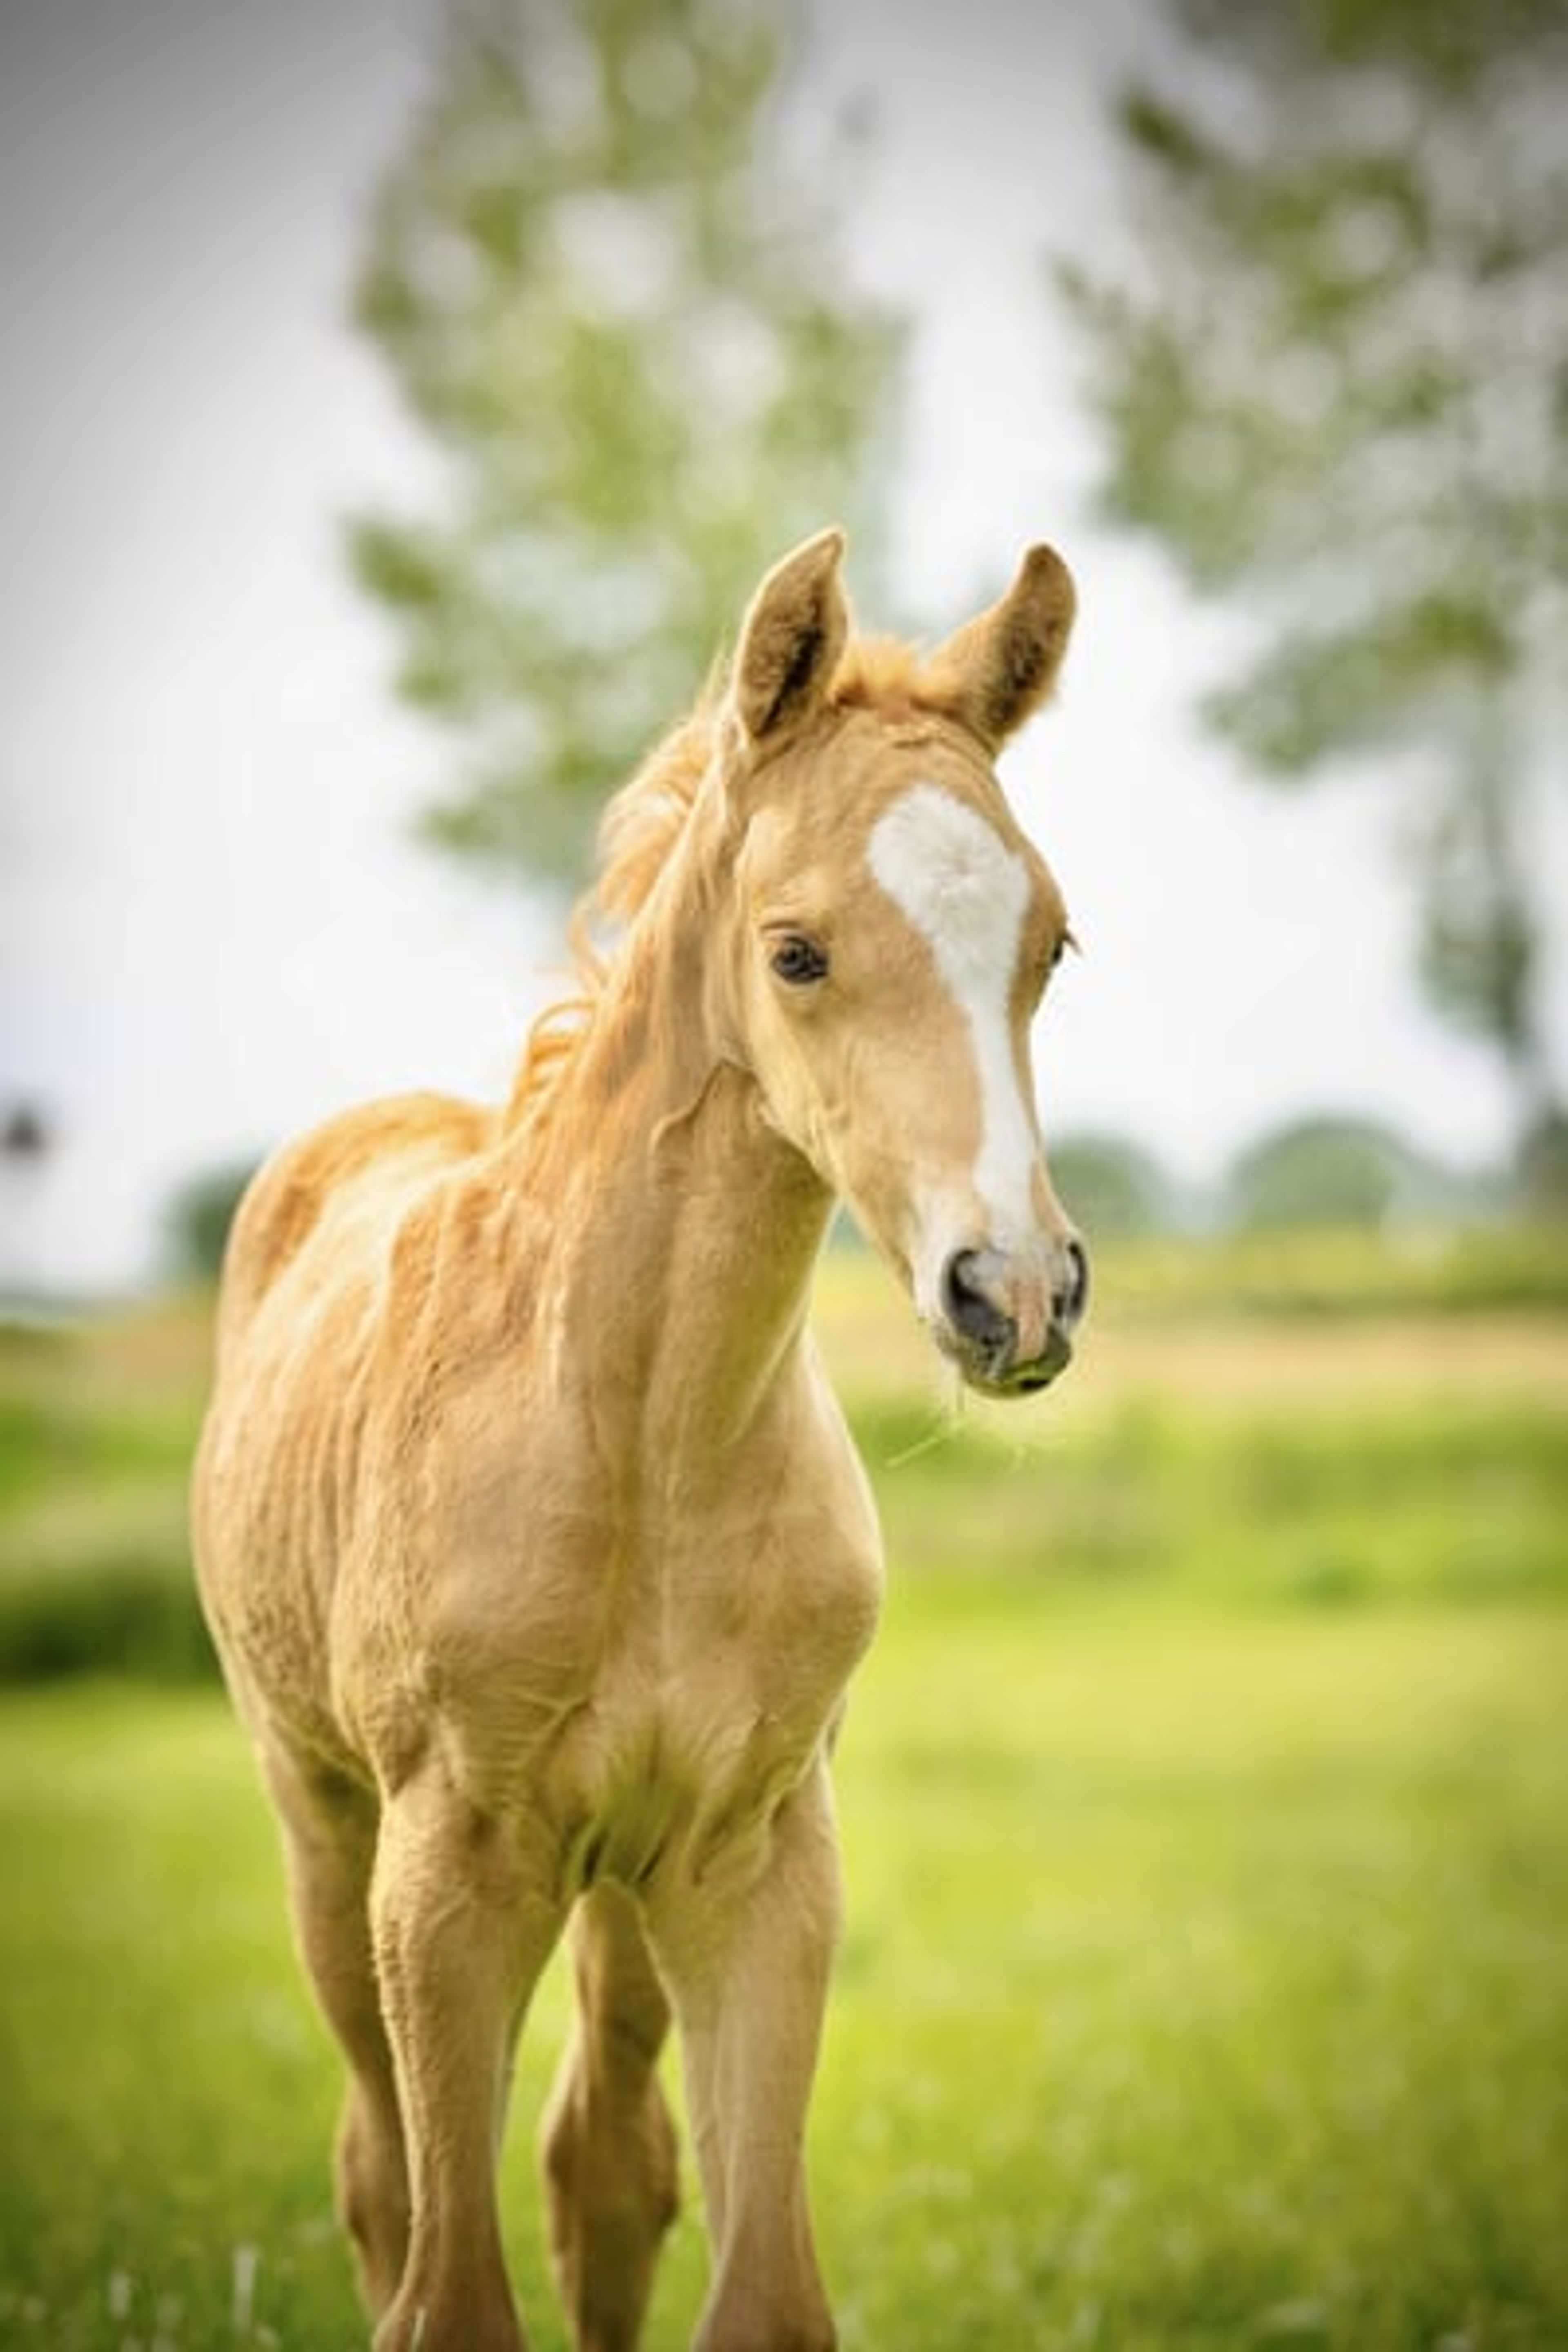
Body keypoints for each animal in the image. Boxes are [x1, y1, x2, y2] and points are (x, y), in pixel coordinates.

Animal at [192, 526, 1089, 2352]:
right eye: (798, 951)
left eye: (1050, 944)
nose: (1015, 1294)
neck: (643, 1443)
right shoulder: (447, 1878)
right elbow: (448, 2292)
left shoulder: (758, 1859)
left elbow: (753, 2285)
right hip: (323, 1823)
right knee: (381, 2170)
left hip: (618, 1870)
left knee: (602, 2166)